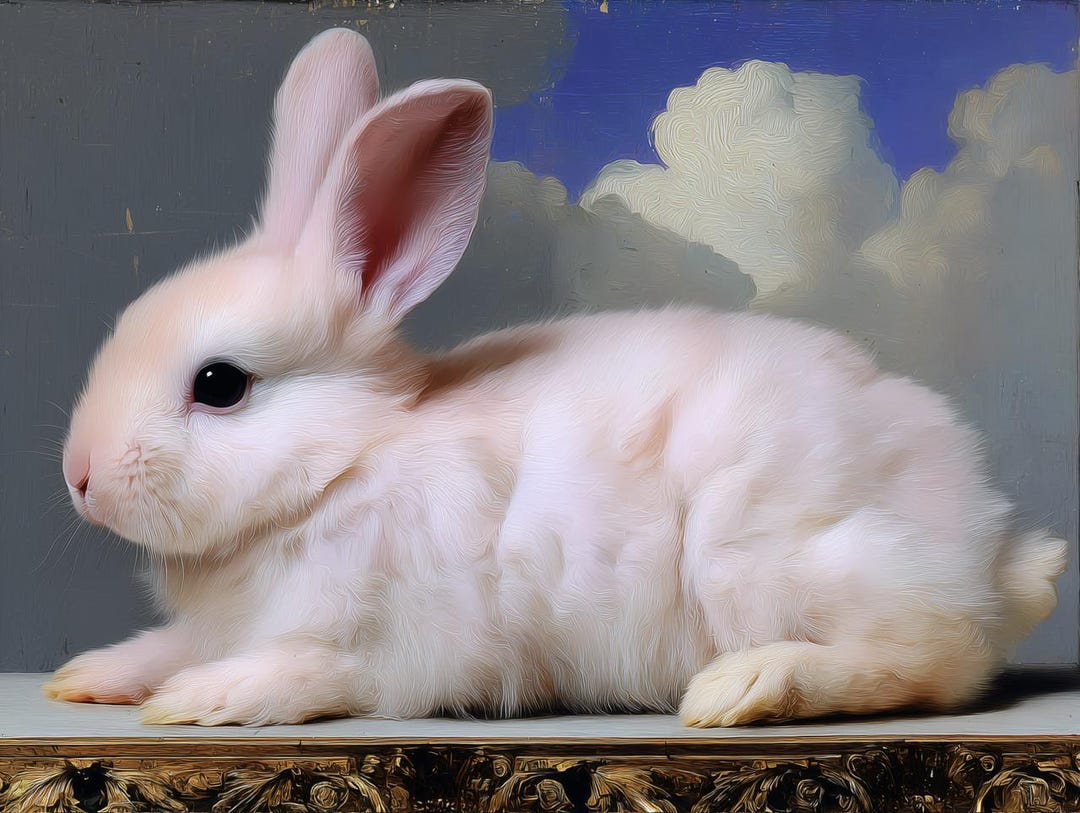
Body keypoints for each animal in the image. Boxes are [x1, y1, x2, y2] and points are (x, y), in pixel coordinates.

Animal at [45, 28, 1067, 728]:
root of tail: (993, 543)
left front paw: (202, 696)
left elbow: (314, 673)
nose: (80, 475)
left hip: (770, 557)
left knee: (936, 654)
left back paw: (745, 685)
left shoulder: (398, 650)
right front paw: (92, 675)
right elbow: (166, 642)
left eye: (220, 384)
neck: (343, 465)